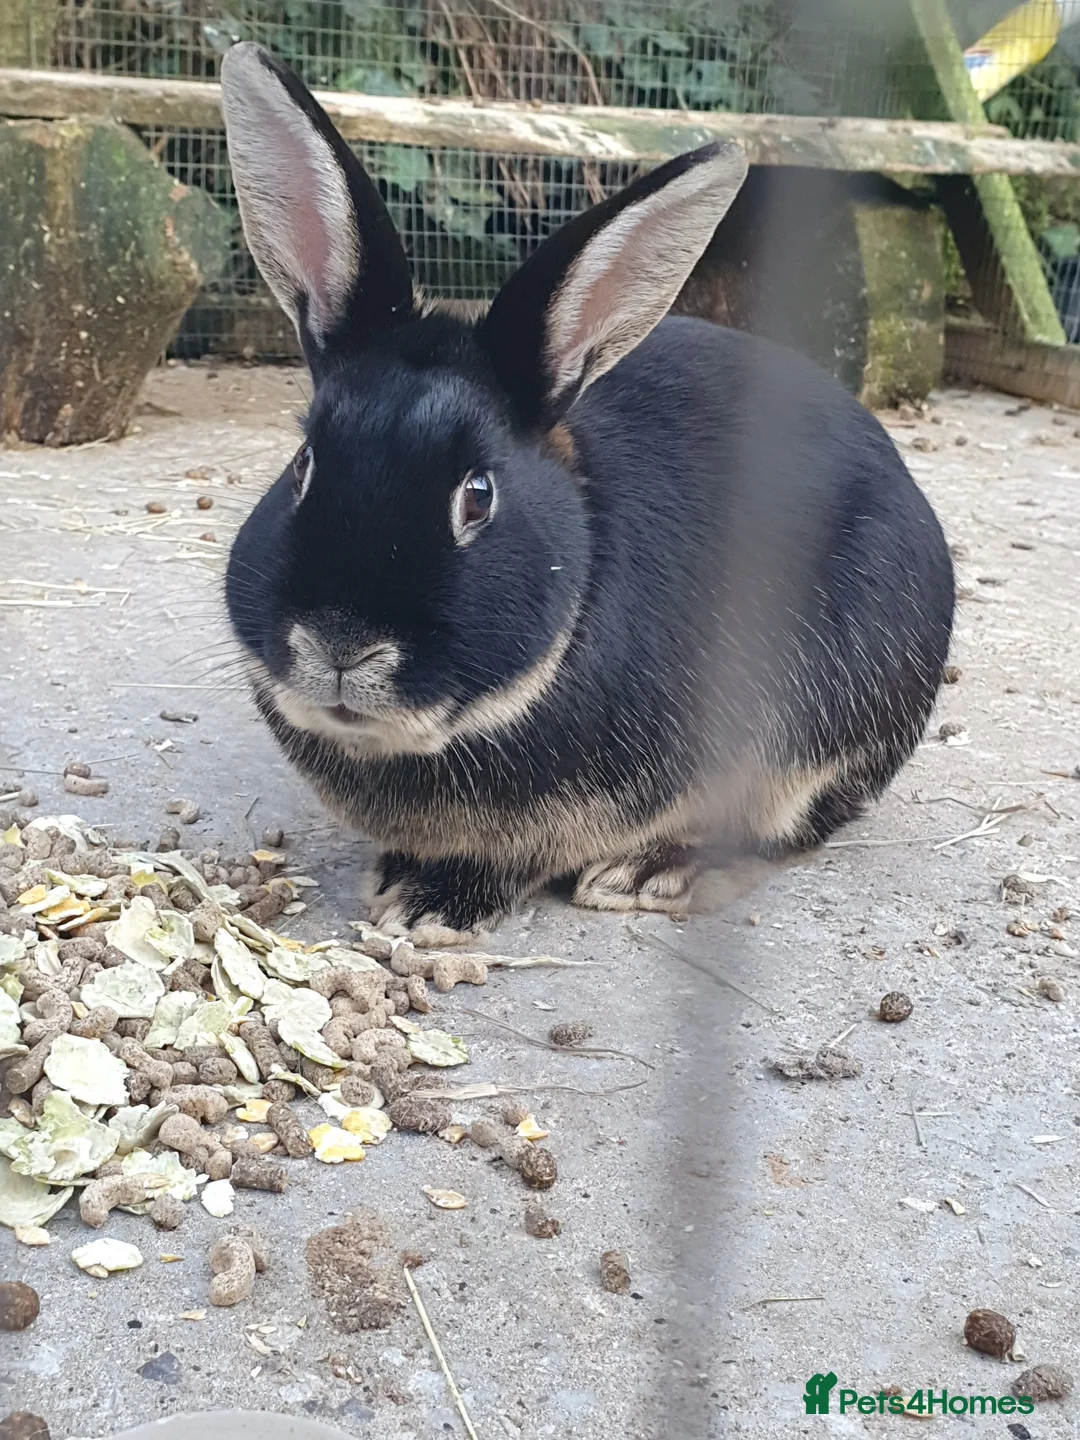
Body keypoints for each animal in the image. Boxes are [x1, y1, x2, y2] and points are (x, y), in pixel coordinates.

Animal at [219, 42, 954, 944]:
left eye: (477, 496)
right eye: (304, 465)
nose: (340, 645)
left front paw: (433, 904)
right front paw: (397, 878)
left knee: (790, 824)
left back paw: (654, 871)